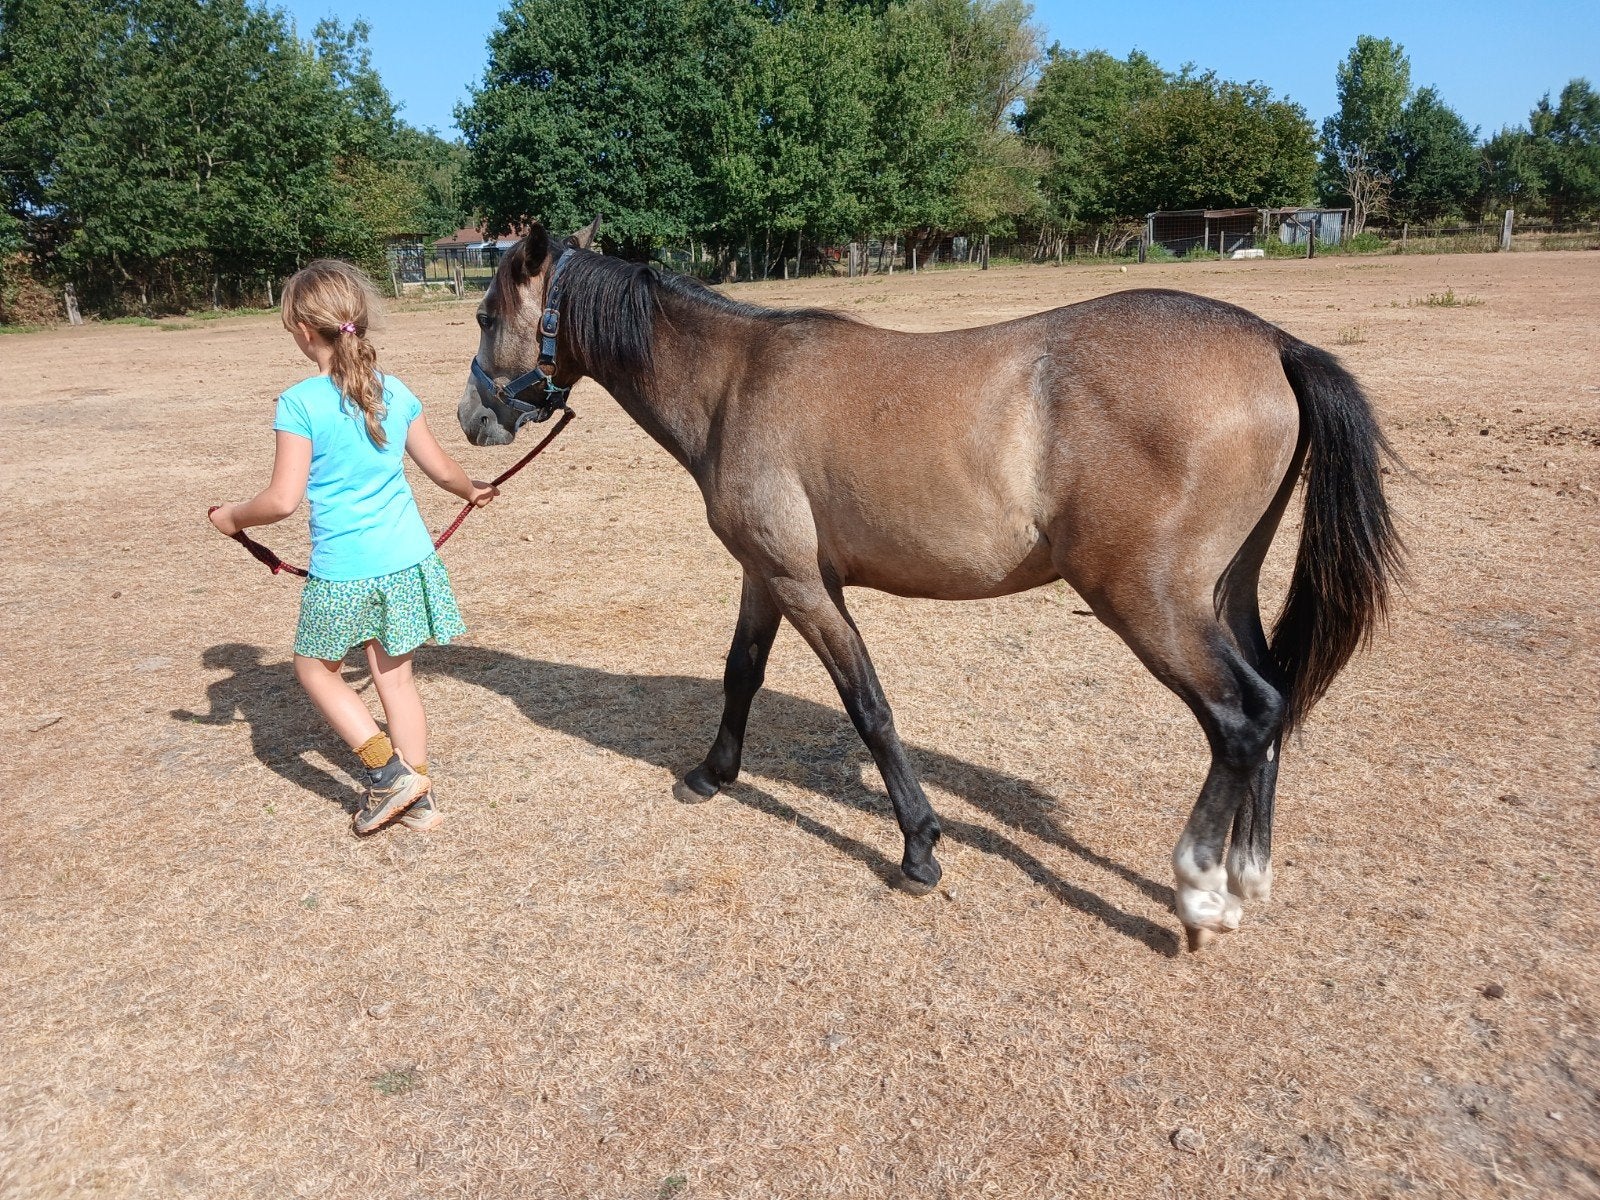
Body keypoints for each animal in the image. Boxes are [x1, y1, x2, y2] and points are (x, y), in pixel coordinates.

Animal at [458, 220, 1402, 952]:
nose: (472, 419)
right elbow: (742, 673)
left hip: (1148, 603)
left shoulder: (804, 585)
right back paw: (1247, 879)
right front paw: (712, 772)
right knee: (1276, 701)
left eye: (485, 312)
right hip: (1224, 593)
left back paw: (1201, 891)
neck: (736, 381)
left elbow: (868, 705)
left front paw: (918, 846)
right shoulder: (768, 574)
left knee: (1242, 719)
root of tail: (1273, 343)